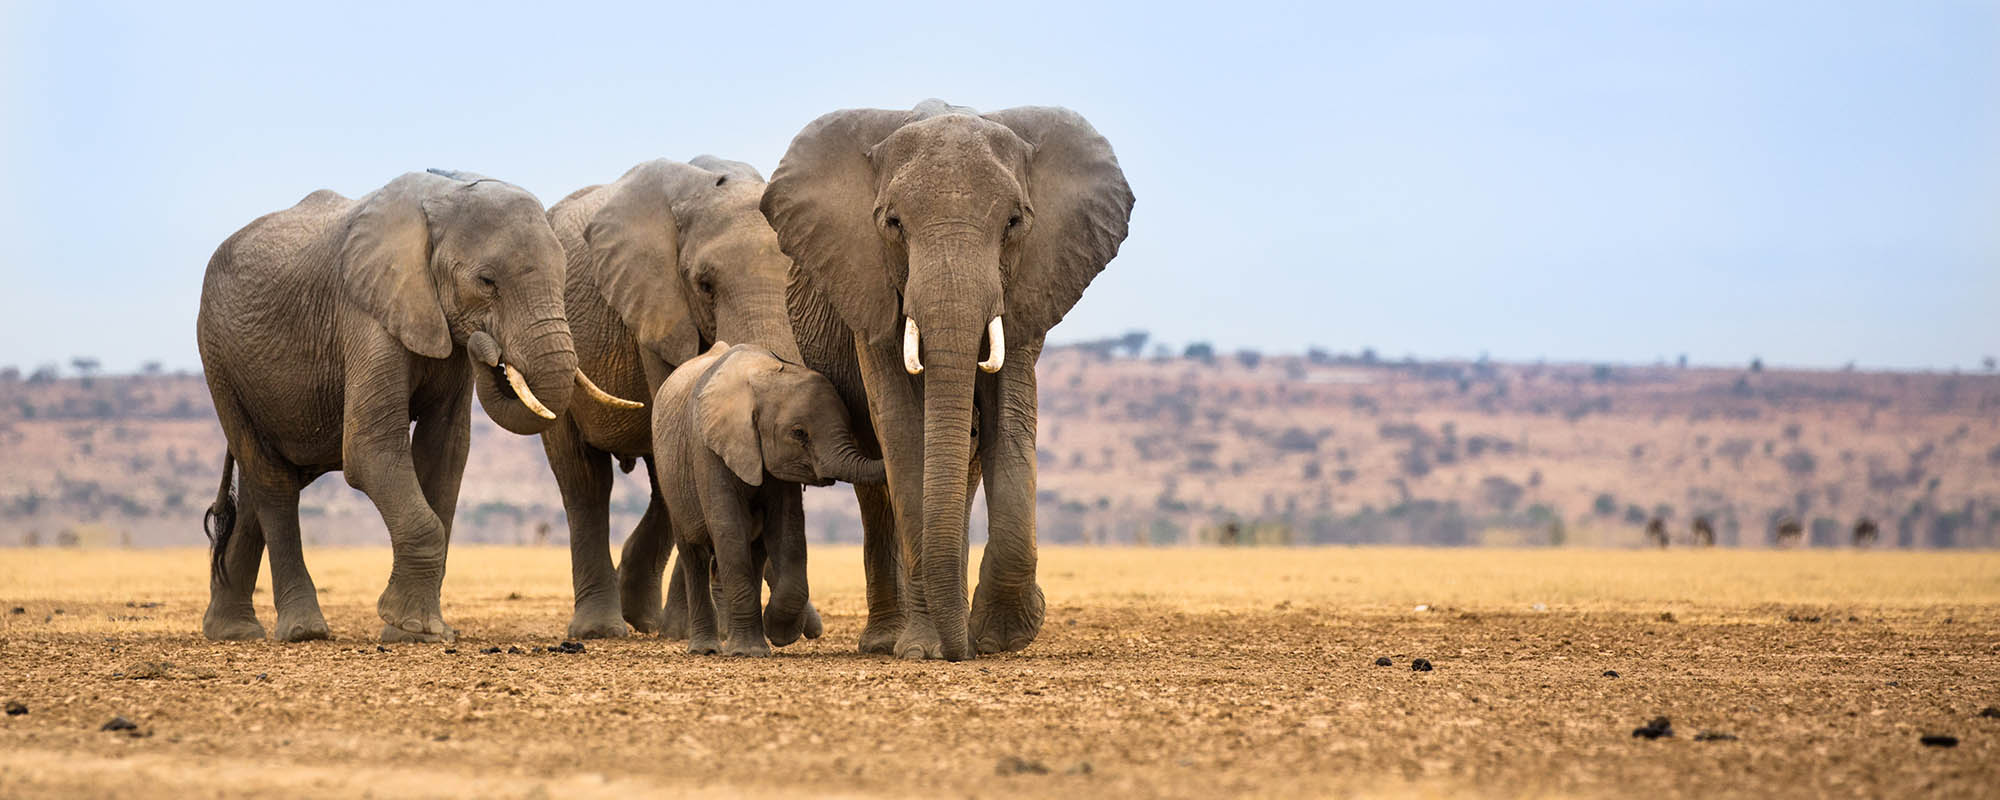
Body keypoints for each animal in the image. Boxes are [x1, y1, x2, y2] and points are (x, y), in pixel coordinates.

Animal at [194, 169, 632, 644]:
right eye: (487, 281)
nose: (488, 347)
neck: (444, 197)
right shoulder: (368, 313)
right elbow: (370, 451)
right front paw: (414, 627)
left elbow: (445, 453)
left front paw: (414, 632)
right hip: (218, 358)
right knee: (271, 482)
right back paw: (303, 632)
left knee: (258, 490)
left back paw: (232, 631)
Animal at [648, 344, 884, 656]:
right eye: (799, 433)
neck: (762, 376)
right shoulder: (708, 450)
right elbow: (729, 529)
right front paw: (749, 651)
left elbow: (788, 531)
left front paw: (779, 634)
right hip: (671, 480)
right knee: (694, 555)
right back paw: (706, 649)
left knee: (755, 554)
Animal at [764, 101, 1136, 664]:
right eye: (893, 223)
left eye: (1014, 222)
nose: (963, 652)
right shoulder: (869, 288)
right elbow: (902, 429)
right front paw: (925, 649)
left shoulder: (1026, 289)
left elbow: (1009, 421)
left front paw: (1001, 637)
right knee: (878, 490)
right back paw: (888, 641)